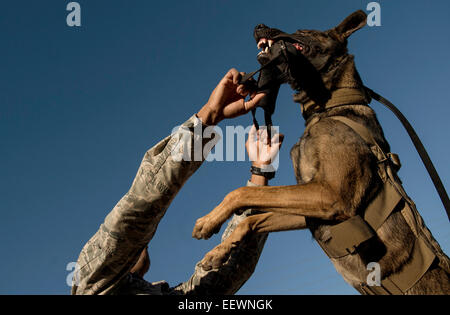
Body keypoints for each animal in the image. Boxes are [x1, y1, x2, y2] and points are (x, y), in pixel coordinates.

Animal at [191, 10, 450, 296]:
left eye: (302, 31)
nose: (258, 25)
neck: (327, 108)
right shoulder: (311, 209)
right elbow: (254, 218)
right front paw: (219, 252)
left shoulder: (331, 195)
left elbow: (242, 193)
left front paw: (209, 220)